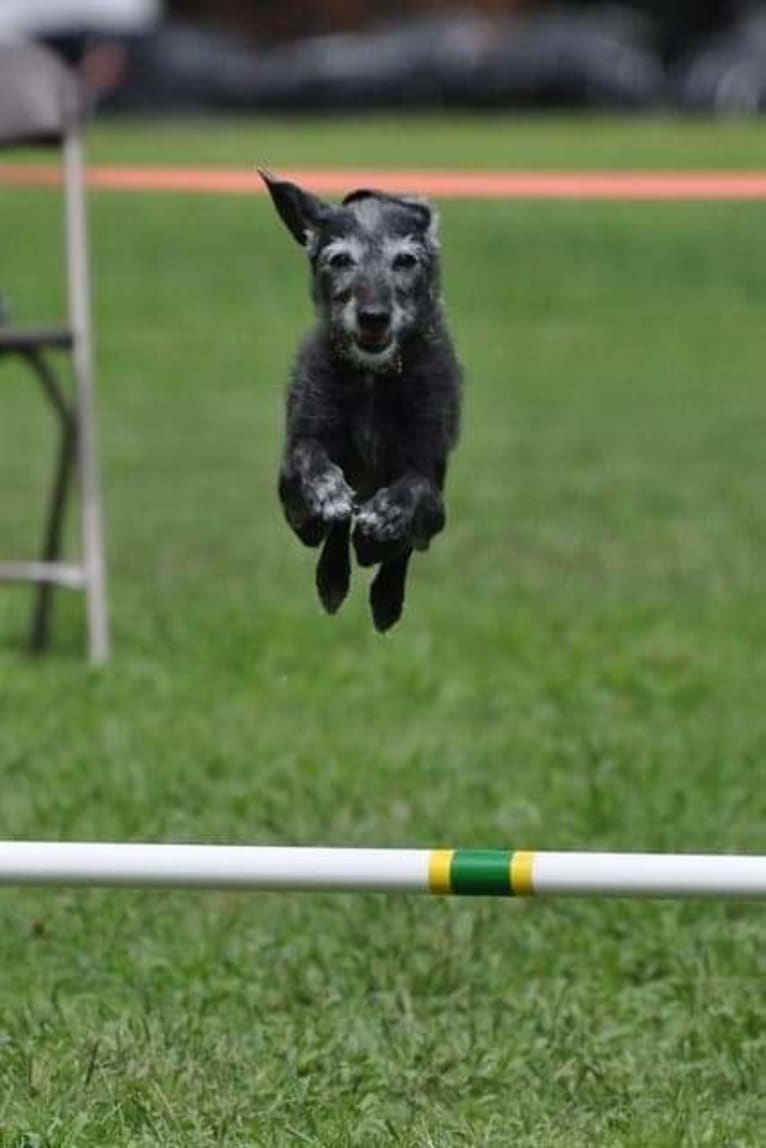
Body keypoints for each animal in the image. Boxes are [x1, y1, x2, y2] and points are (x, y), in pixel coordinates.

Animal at [260, 171, 463, 633]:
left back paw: (384, 592)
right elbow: (307, 463)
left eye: (405, 259)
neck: (373, 377)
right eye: (339, 260)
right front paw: (325, 488)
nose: (373, 316)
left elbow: (415, 491)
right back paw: (333, 574)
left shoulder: (433, 493)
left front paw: (386, 516)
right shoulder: (292, 482)